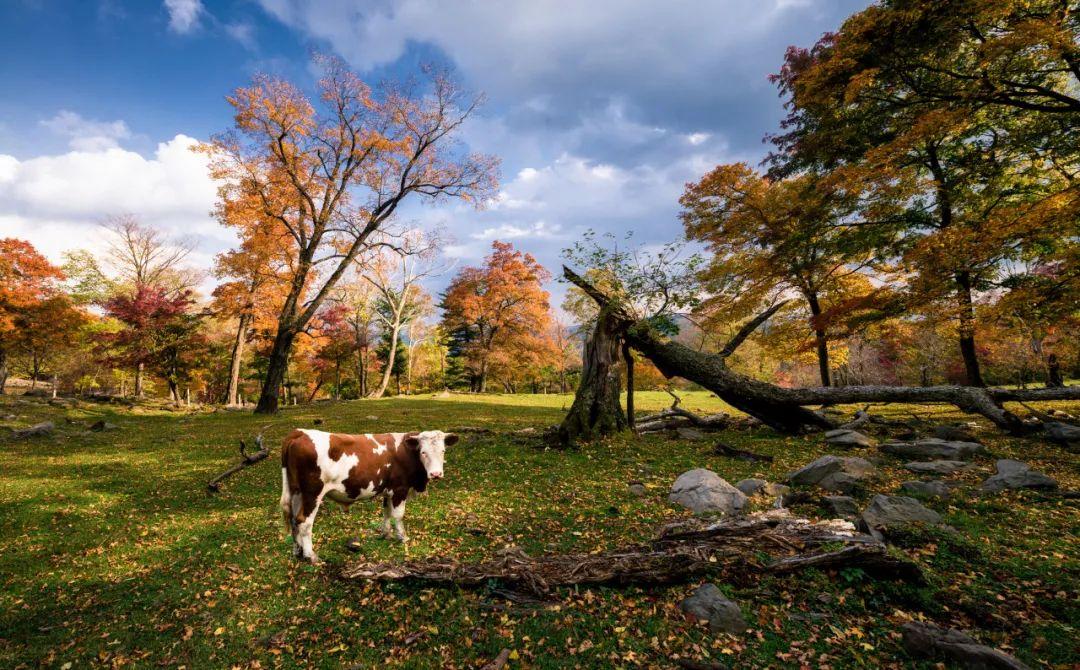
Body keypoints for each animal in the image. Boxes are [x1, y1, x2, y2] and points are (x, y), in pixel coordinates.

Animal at [276, 430, 457, 561]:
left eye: (443, 451)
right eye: (423, 452)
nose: (436, 474)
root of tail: (300, 432)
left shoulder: (388, 490)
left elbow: (386, 513)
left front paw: (386, 534)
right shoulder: (400, 489)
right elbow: (398, 515)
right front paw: (403, 538)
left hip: (297, 492)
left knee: (294, 520)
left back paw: (298, 552)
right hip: (313, 494)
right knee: (304, 522)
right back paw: (310, 556)